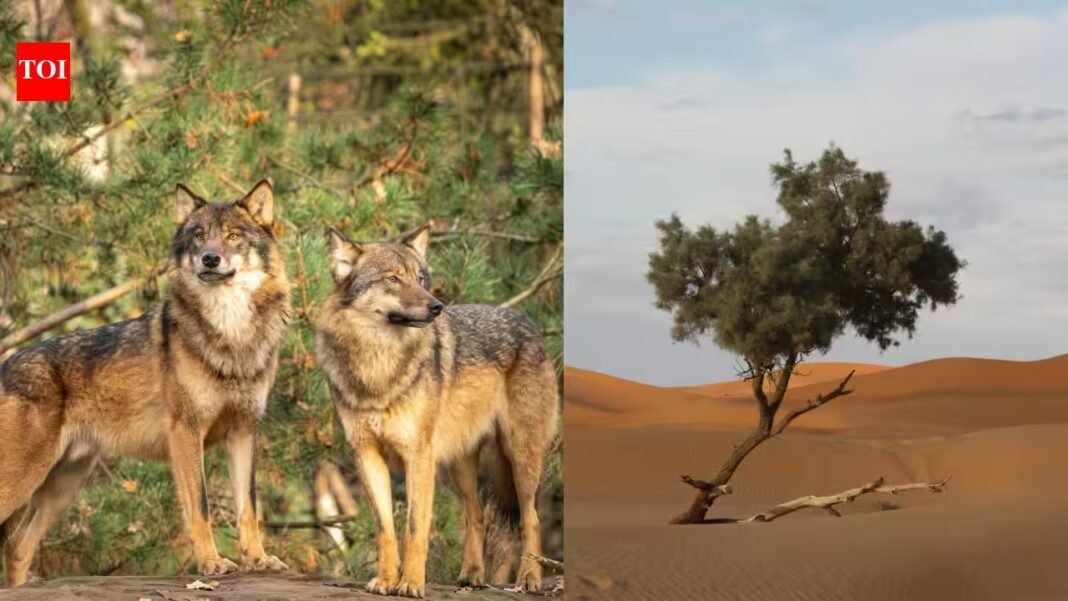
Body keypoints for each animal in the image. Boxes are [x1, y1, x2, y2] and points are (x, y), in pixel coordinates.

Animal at [0, 181, 290, 586]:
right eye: (199, 236)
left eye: (233, 236)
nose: (210, 259)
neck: (231, 335)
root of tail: (8, 363)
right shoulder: (186, 433)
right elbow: (200, 508)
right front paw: (212, 563)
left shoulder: (244, 433)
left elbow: (248, 508)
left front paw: (259, 559)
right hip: (26, 480)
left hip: (62, 487)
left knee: (18, 547)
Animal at [315, 224, 559, 598]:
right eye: (393, 278)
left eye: (420, 278)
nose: (436, 307)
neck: (378, 367)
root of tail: (528, 321)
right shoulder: (367, 455)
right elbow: (386, 528)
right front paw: (386, 581)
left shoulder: (418, 456)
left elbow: (415, 529)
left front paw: (412, 584)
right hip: (459, 466)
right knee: (476, 513)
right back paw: (472, 575)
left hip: (519, 456)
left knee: (530, 517)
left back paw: (529, 578)